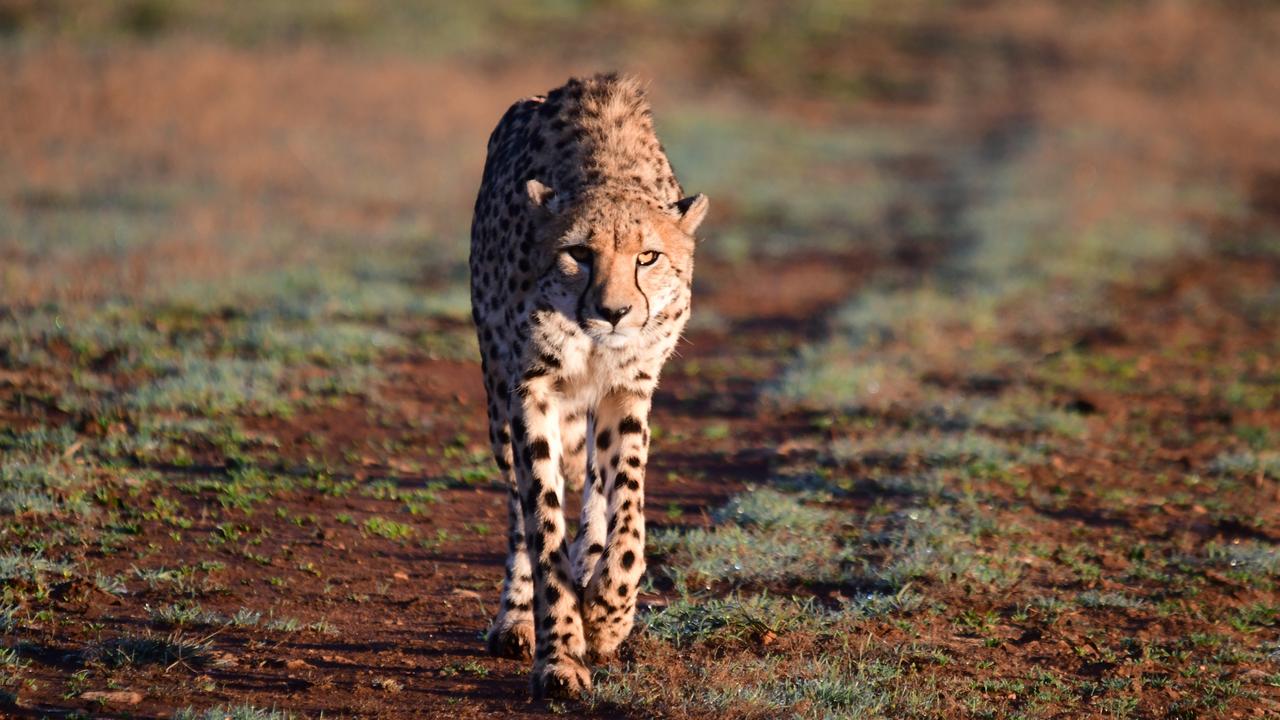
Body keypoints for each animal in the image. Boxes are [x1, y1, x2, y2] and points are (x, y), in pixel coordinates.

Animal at [471, 74, 711, 696]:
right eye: (579, 252)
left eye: (648, 256)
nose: (614, 312)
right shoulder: (530, 390)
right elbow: (541, 519)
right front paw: (560, 654)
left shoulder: (629, 388)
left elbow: (627, 505)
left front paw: (607, 614)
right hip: (498, 402)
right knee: (519, 512)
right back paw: (516, 619)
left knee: (596, 491)